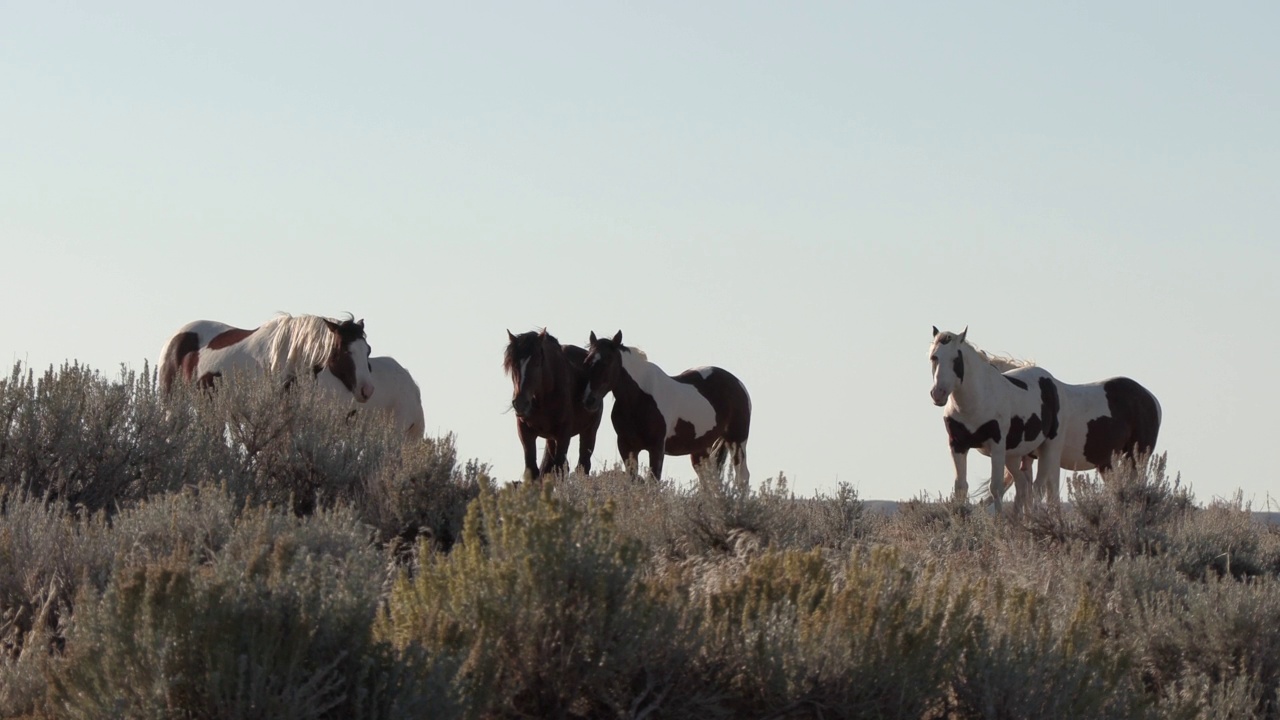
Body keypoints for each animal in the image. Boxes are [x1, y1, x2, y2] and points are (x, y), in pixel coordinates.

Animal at [501, 327, 601, 479]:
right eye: (513, 364)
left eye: (537, 362)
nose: (520, 403)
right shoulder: (525, 432)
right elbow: (532, 470)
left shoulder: (563, 434)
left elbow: (560, 468)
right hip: (551, 439)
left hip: (589, 431)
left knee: (582, 465)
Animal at [583, 330, 747, 481]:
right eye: (587, 361)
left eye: (608, 360)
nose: (589, 400)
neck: (639, 398)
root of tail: (737, 383)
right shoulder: (627, 447)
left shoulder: (656, 448)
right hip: (700, 450)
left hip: (737, 441)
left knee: (742, 478)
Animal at [926, 325, 1064, 509]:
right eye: (934, 357)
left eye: (956, 359)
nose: (938, 394)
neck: (976, 403)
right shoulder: (957, 446)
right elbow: (961, 487)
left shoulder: (996, 446)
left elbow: (996, 488)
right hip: (1017, 455)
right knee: (1024, 487)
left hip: (1049, 449)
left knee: (1045, 487)